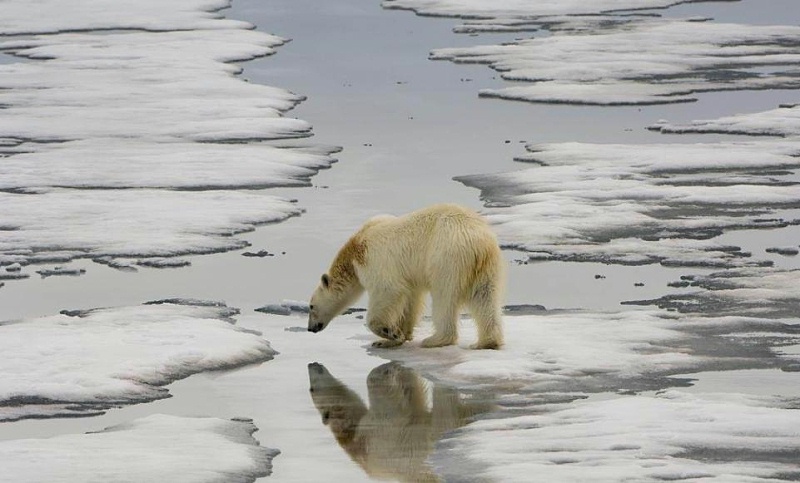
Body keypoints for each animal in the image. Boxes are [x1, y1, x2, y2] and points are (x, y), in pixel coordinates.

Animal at [310, 202, 504, 350]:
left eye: (311, 306)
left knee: (444, 297)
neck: (355, 249)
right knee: (485, 297)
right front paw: (397, 336)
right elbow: (410, 299)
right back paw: (486, 342)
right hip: (487, 265)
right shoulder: (408, 277)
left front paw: (389, 334)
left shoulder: (375, 262)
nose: (310, 328)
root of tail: (479, 241)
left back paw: (435, 339)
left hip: (446, 257)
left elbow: (387, 291)